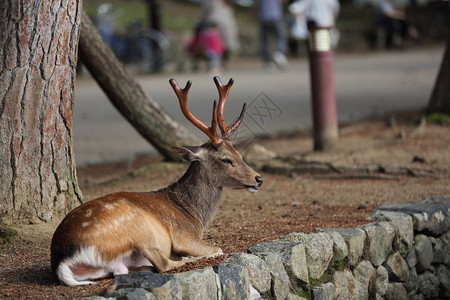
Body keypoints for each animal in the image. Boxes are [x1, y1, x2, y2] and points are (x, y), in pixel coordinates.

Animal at [49, 75, 262, 286]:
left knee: (125, 270)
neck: (193, 215)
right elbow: (216, 248)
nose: (258, 179)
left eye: (239, 154)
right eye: (226, 159)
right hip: (142, 230)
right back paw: (184, 258)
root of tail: (62, 261)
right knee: (165, 264)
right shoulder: (184, 236)